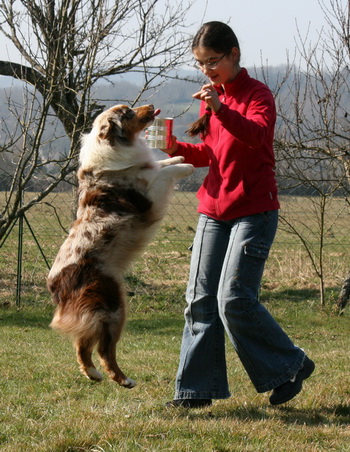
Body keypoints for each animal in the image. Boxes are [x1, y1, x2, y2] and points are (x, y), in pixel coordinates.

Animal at [47, 104, 194, 386]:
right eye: (127, 113)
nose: (151, 107)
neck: (111, 146)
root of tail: (55, 283)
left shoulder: (147, 170)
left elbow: (159, 165)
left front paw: (178, 156)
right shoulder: (149, 198)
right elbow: (163, 173)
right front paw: (187, 165)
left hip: (99, 311)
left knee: (82, 345)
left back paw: (93, 374)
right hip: (113, 307)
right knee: (104, 349)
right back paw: (124, 379)